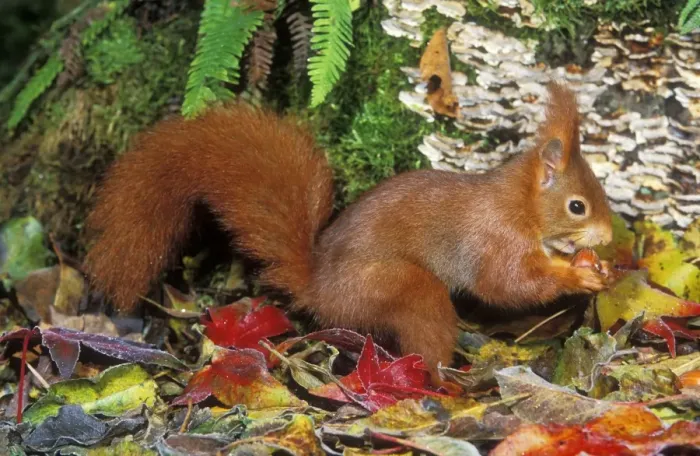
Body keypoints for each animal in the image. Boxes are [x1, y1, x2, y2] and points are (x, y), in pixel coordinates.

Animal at [84, 82, 613, 384]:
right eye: (578, 206)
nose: (608, 237)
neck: (519, 203)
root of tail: (318, 287)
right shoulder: (495, 237)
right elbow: (505, 285)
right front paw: (577, 275)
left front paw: (593, 265)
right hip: (391, 287)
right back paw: (445, 381)